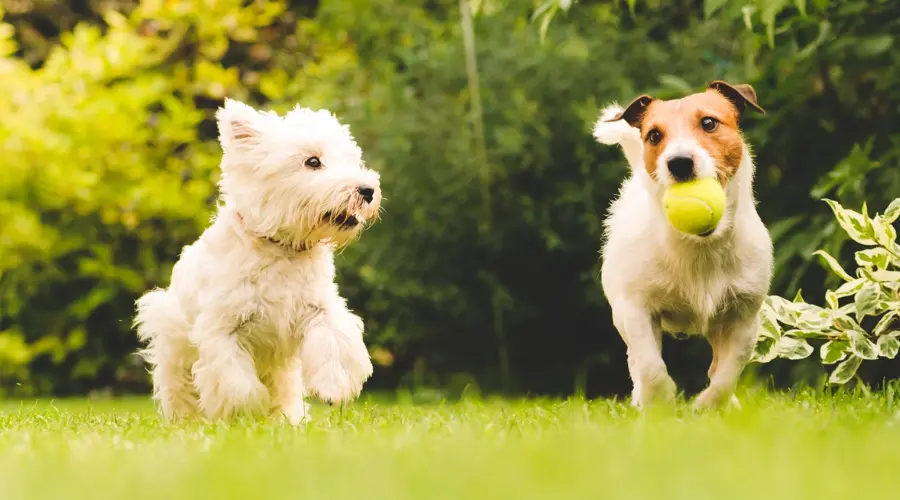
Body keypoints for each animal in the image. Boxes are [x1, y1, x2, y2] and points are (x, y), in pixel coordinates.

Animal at [135, 99, 382, 424]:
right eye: (313, 161)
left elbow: (333, 340)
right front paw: (246, 413)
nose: (367, 190)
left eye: (352, 160)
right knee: (181, 390)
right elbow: (237, 383)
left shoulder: (318, 307)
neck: (281, 248)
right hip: (172, 345)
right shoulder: (222, 328)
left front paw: (333, 388)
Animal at [592, 81, 772, 410]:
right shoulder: (636, 310)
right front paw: (660, 400)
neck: (700, 246)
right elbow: (651, 367)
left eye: (709, 123)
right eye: (654, 135)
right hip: (622, 314)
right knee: (636, 360)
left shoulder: (744, 318)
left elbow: (727, 373)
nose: (679, 162)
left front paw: (708, 405)